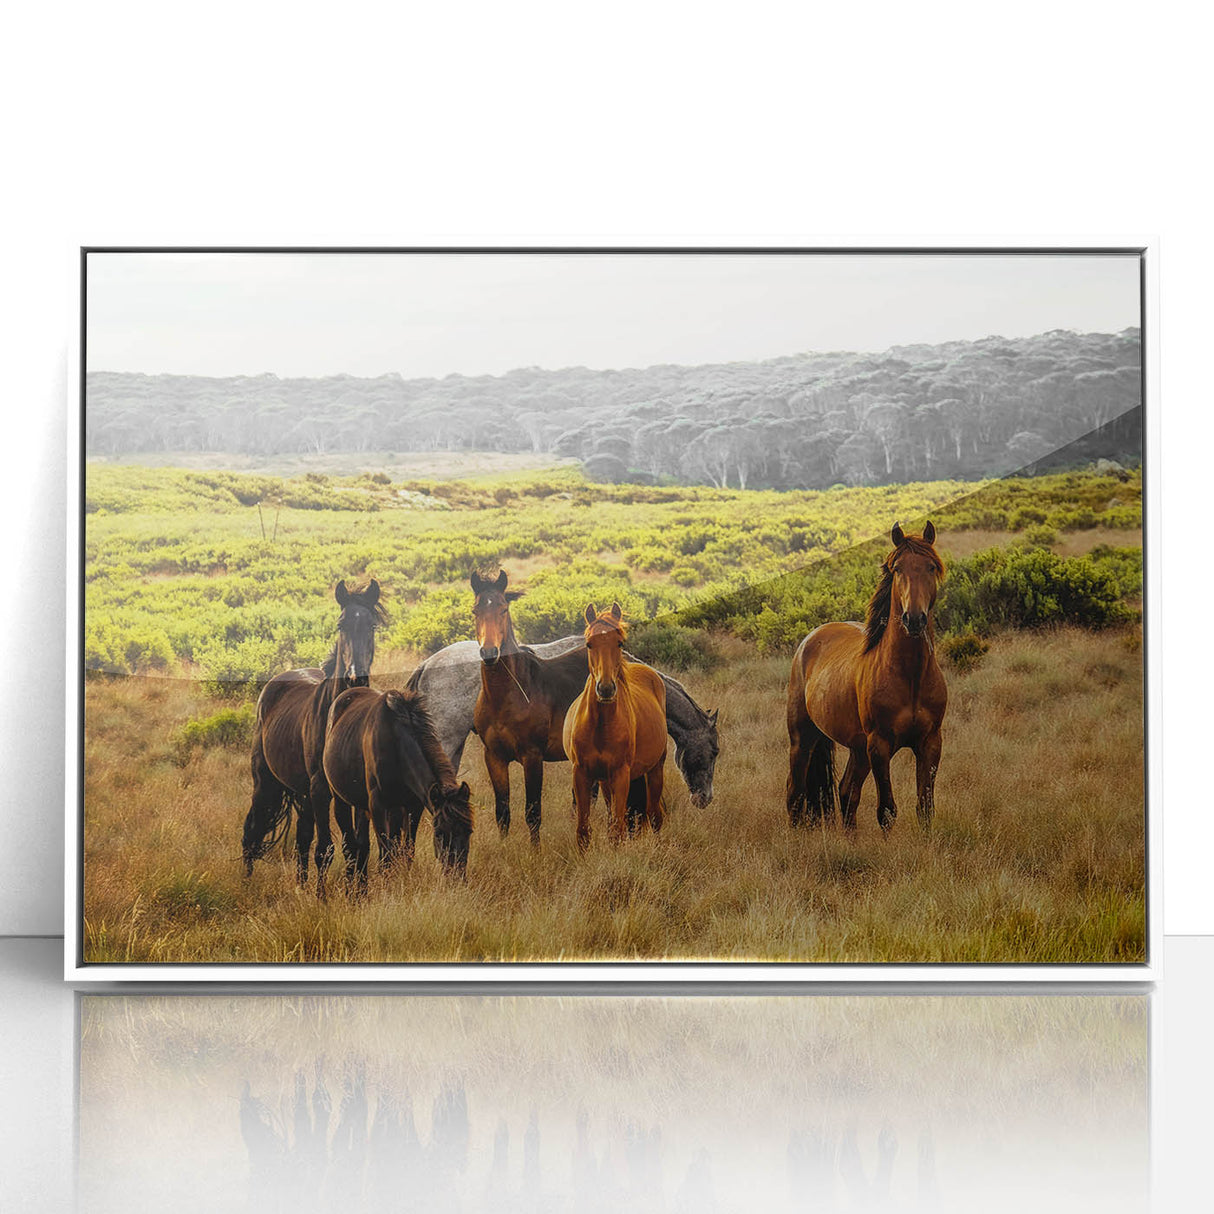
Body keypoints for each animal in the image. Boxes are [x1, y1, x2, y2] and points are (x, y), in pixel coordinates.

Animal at [240, 578, 384, 895]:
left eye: (372, 625)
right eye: (341, 624)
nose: (356, 677)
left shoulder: (355, 792)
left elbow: (359, 846)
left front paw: (358, 894)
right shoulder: (321, 790)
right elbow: (327, 848)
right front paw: (323, 898)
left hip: (303, 794)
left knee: (302, 839)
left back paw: (301, 886)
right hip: (266, 783)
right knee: (252, 831)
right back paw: (246, 883)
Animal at [323, 687, 473, 888]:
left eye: (469, 831)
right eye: (440, 834)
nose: (457, 877)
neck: (396, 743)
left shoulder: (413, 806)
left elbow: (407, 850)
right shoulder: (377, 806)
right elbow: (386, 854)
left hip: (372, 807)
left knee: (364, 845)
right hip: (342, 800)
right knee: (351, 845)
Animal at [563, 603, 668, 851]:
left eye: (619, 642)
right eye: (589, 644)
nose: (606, 689)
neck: (600, 726)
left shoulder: (621, 775)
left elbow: (617, 830)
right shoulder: (582, 774)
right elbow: (583, 830)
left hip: (655, 769)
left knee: (655, 815)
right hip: (604, 781)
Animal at [786, 522, 947, 834]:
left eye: (931, 567)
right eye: (897, 568)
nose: (914, 619)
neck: (910, 676)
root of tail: (809, 640)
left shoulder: (930, 743)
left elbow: (925, 808)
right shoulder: (880, 746)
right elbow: (887, 810)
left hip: (857, 749)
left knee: (847, 791)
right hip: (803, 739)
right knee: (795, 794)